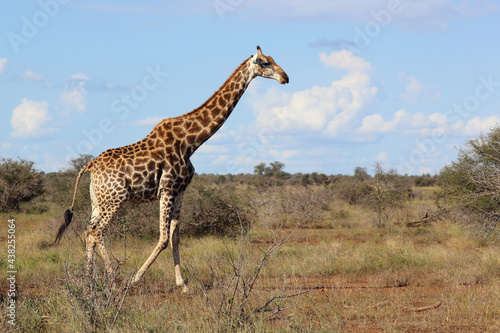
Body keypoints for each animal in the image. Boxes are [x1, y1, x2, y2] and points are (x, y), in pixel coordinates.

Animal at [53, 45, 290, 290]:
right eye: (264, 62)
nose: (285, 77)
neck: (191, 142)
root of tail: (89, 166)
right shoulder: (166, 189)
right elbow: (163, 238)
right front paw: (136, 278)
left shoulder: (180, 190)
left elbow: (175, 237)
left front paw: (182, 283)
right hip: (116, 199)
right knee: (97, 231)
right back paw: (114, 280)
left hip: (98, 201)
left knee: (88, 231)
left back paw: (89, 279)